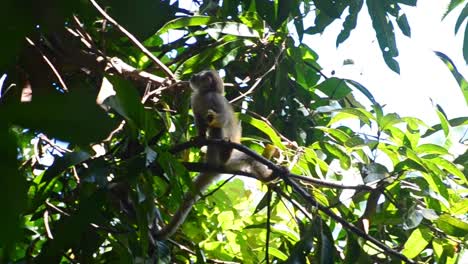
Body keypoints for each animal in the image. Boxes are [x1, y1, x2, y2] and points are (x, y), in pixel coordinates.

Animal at [154, 69, 270, 239]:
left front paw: (213, 120)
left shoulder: (214, 98)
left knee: (220, 132)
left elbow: (222, 118)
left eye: (200, 75)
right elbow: (199, 121)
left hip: (228, 159)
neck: (205, 94)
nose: (194, 75)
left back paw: (227, 155)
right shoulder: (195, 99)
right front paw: (200, 138)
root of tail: (214, 167)